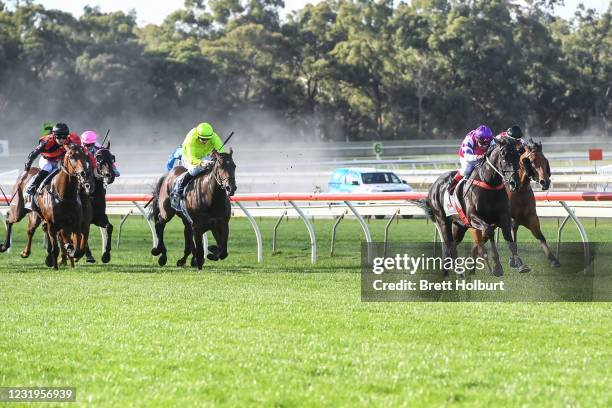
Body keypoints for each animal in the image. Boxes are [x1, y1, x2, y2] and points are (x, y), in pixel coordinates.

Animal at [470, 139, 560, 270]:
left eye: (544, 159)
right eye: (531, 161)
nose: (545, 182)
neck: (519, 190)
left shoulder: (531, 217)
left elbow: (540, 236)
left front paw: (553, 259)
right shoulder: (510, 219)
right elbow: (513, 240)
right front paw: (516, 262)